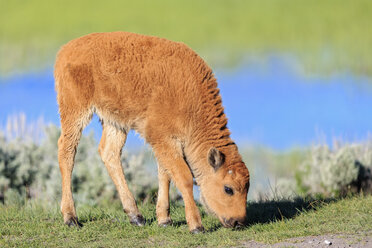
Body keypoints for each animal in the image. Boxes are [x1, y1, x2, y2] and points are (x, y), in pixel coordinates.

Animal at [54, 31, 250, 232]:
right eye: (228, 189)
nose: (238, 222)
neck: (193, 98)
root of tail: (67, 49)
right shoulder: (163, 139)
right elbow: (184, 178)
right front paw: (196, 226)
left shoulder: (164, 142)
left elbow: (165, 175)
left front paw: (164, 220)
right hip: (75, 111)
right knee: (67, 152)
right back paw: (71, 218)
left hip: (115, 122)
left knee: (109, 153)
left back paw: (136, 216)